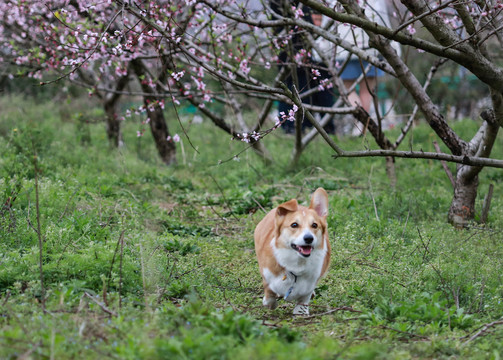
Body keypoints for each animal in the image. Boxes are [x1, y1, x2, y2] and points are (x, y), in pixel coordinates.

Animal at [256, 188, 330, 316]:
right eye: (294, 225)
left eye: (314, 225)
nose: (309, 238)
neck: (297, 263)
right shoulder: (267, 277)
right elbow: (270, 295)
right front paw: (269, 303)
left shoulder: (309, 285)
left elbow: (304, 299)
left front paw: (301, 311)